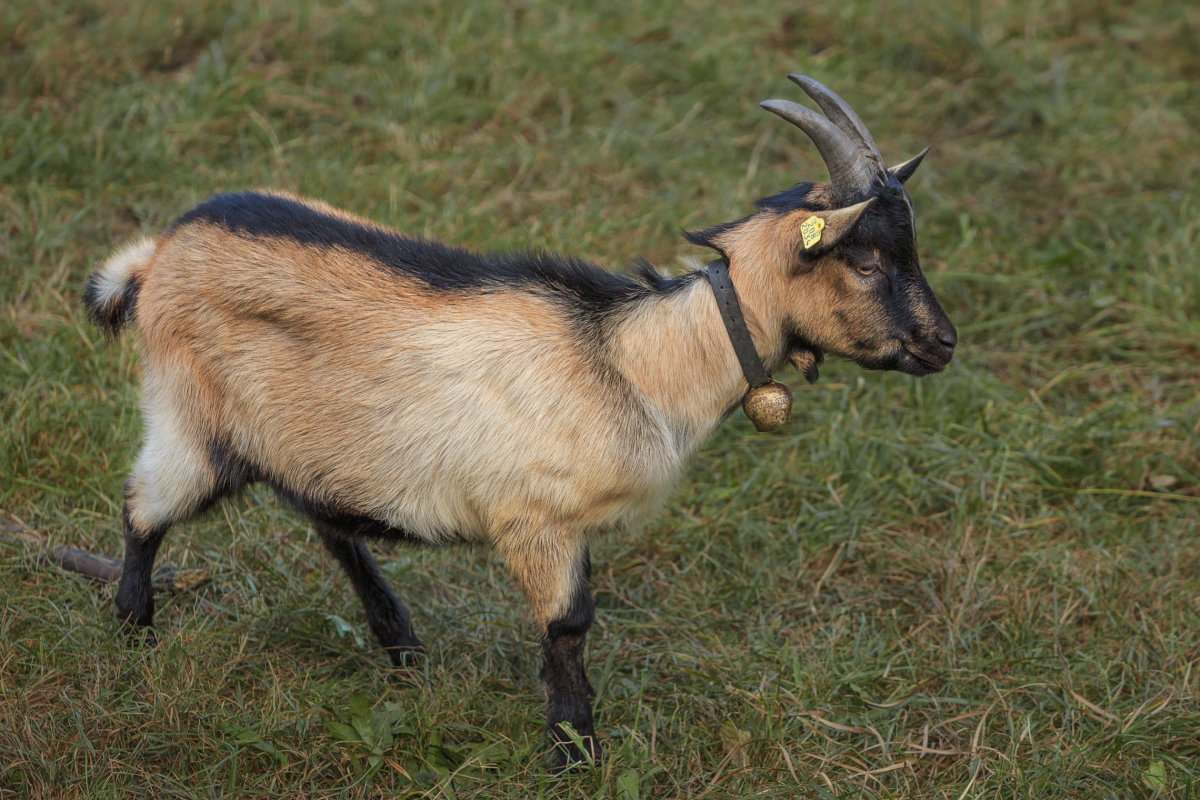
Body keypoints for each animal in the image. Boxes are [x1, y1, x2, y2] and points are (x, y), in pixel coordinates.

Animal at [84, 74, 955, 767]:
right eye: (867, 261)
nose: (942, 343)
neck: (635, 360)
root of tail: (157, 254)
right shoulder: (535, 518)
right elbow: (568, 625)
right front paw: (574, 749)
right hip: (189, 414)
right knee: (144, 507)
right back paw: (133, 632)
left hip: (309, 439)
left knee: (326, 519)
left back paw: (402, 647)